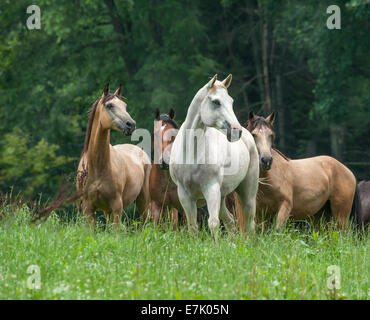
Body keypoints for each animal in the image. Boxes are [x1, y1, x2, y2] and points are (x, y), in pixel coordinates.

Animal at [76, 82, 150, 228]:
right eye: (110, 105)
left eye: (124, 105)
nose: (131, 125)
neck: (97, 167)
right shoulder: (88, 209)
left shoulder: (116, 207)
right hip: (107, 211)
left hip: (143, 200)